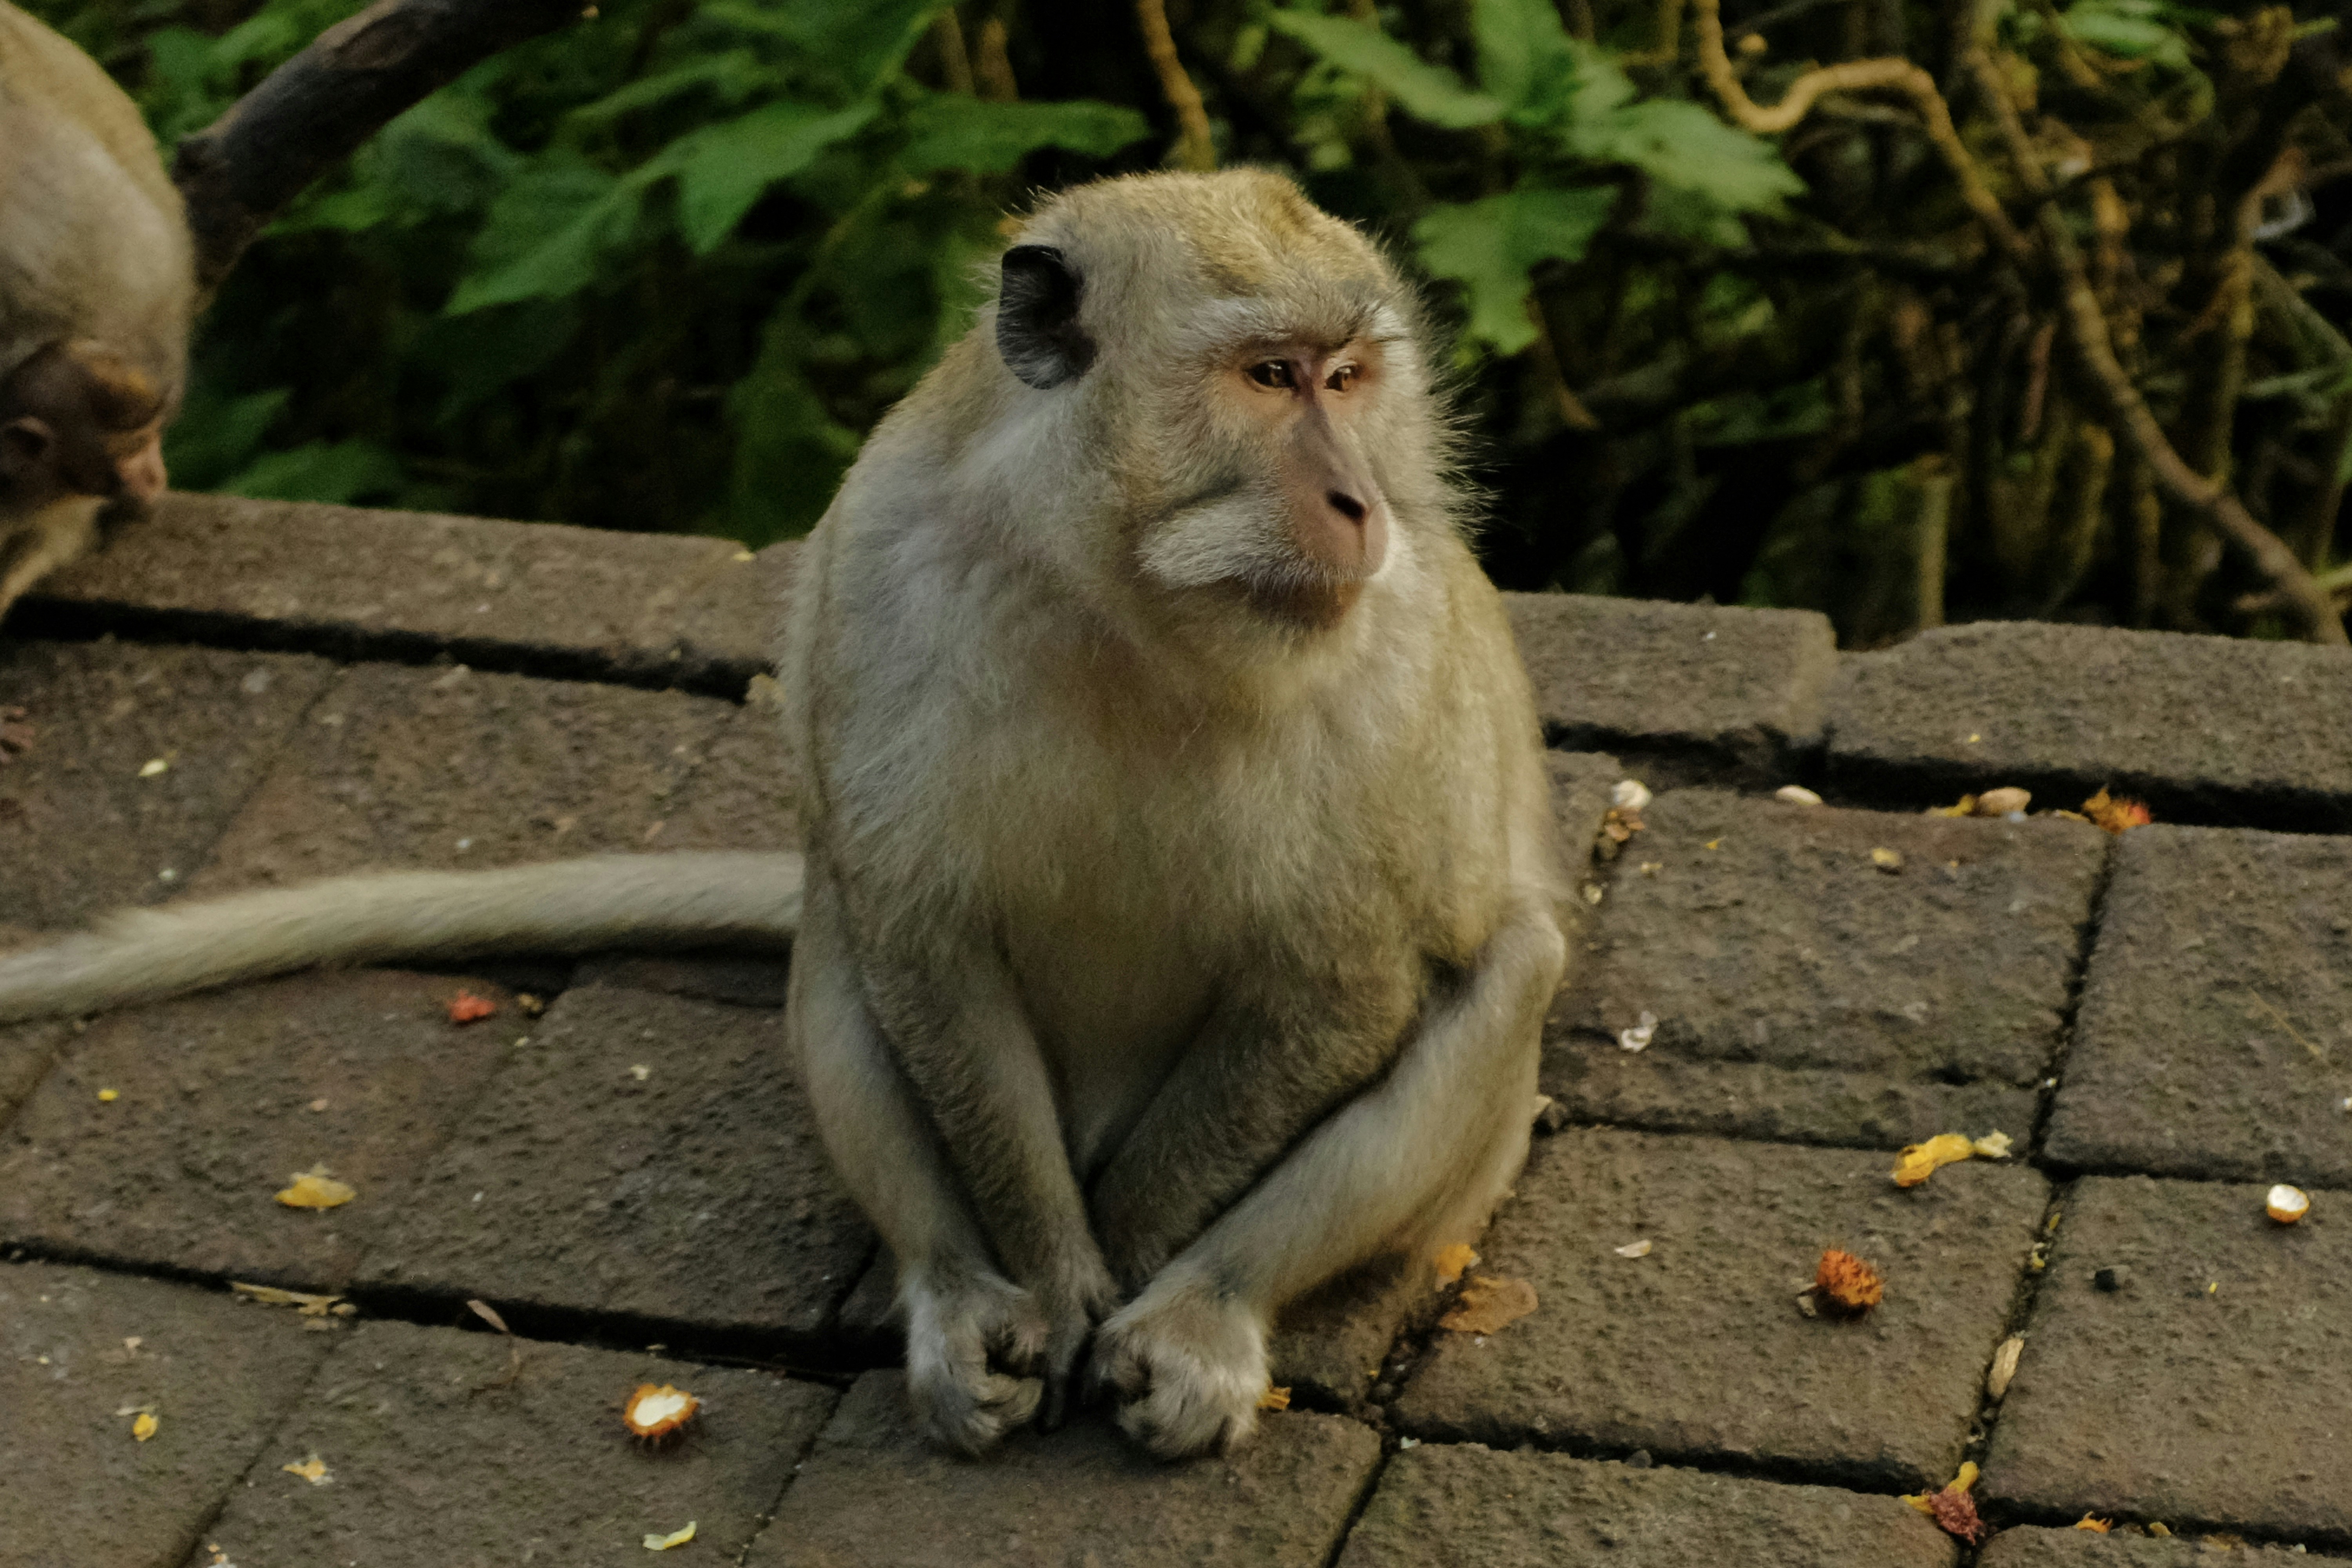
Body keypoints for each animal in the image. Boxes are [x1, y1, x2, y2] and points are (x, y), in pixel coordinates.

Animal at [0, 169, 1568, 1462]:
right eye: (1268, 376)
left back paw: (1209, 1310)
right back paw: (951, 1288)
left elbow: (1347, 970)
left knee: (1502, 970)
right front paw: (1051, 1275)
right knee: (841, 930)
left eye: (1351, 377)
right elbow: (920, 931)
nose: (1358, 501)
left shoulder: (1391, 650)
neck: (1127, 595)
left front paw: (1122, 1271)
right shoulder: (879, 559)